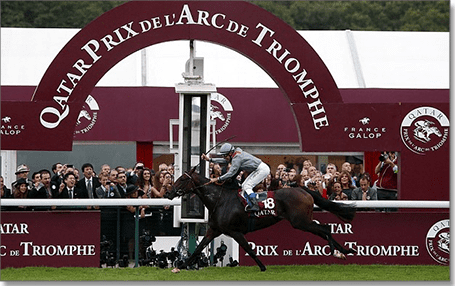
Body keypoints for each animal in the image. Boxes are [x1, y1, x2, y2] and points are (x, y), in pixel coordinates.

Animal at [165, 169, 360, 272]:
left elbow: (249, 248)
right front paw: (180, 266)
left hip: (300, 221)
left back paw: (337, 252)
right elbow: (198, 249)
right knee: (323, 230)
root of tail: (303, 189)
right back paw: (345, 251)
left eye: (182, 179)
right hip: (304, 221)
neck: (219, 200)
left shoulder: (234, 231)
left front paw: (262, 267)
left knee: (325, 229)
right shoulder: (214, 230)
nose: (168, 192)